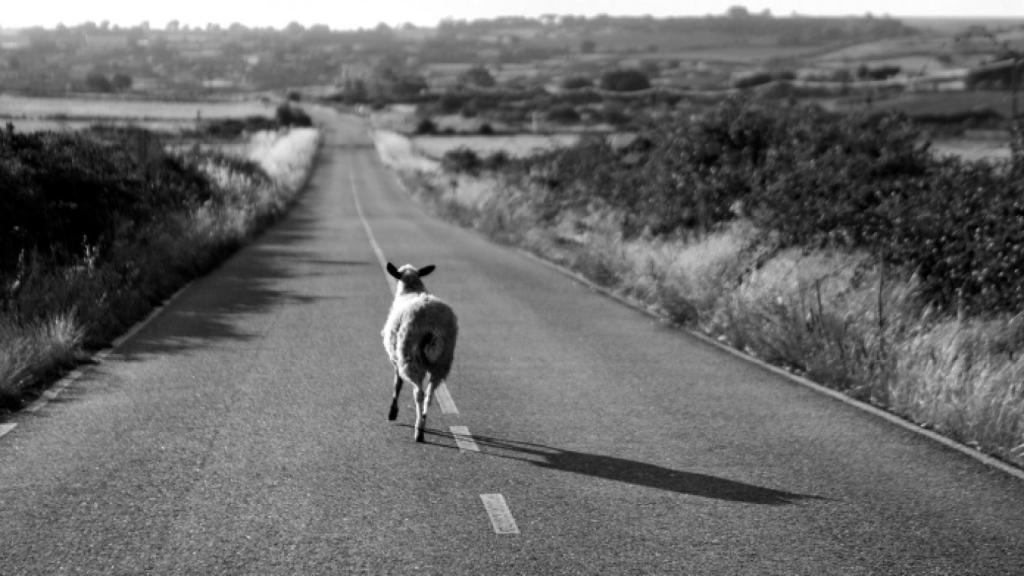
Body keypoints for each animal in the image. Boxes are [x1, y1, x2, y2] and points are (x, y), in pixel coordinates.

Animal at [382, 262, 458, 440]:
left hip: (409, 357)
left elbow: (397, 384)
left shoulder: (396, 360)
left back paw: (419, 432)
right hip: (442, 362)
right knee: (429, 395)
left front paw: (392, 413)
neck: (411, 289)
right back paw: (422, 423)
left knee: (419, 393)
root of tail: (432, 325)